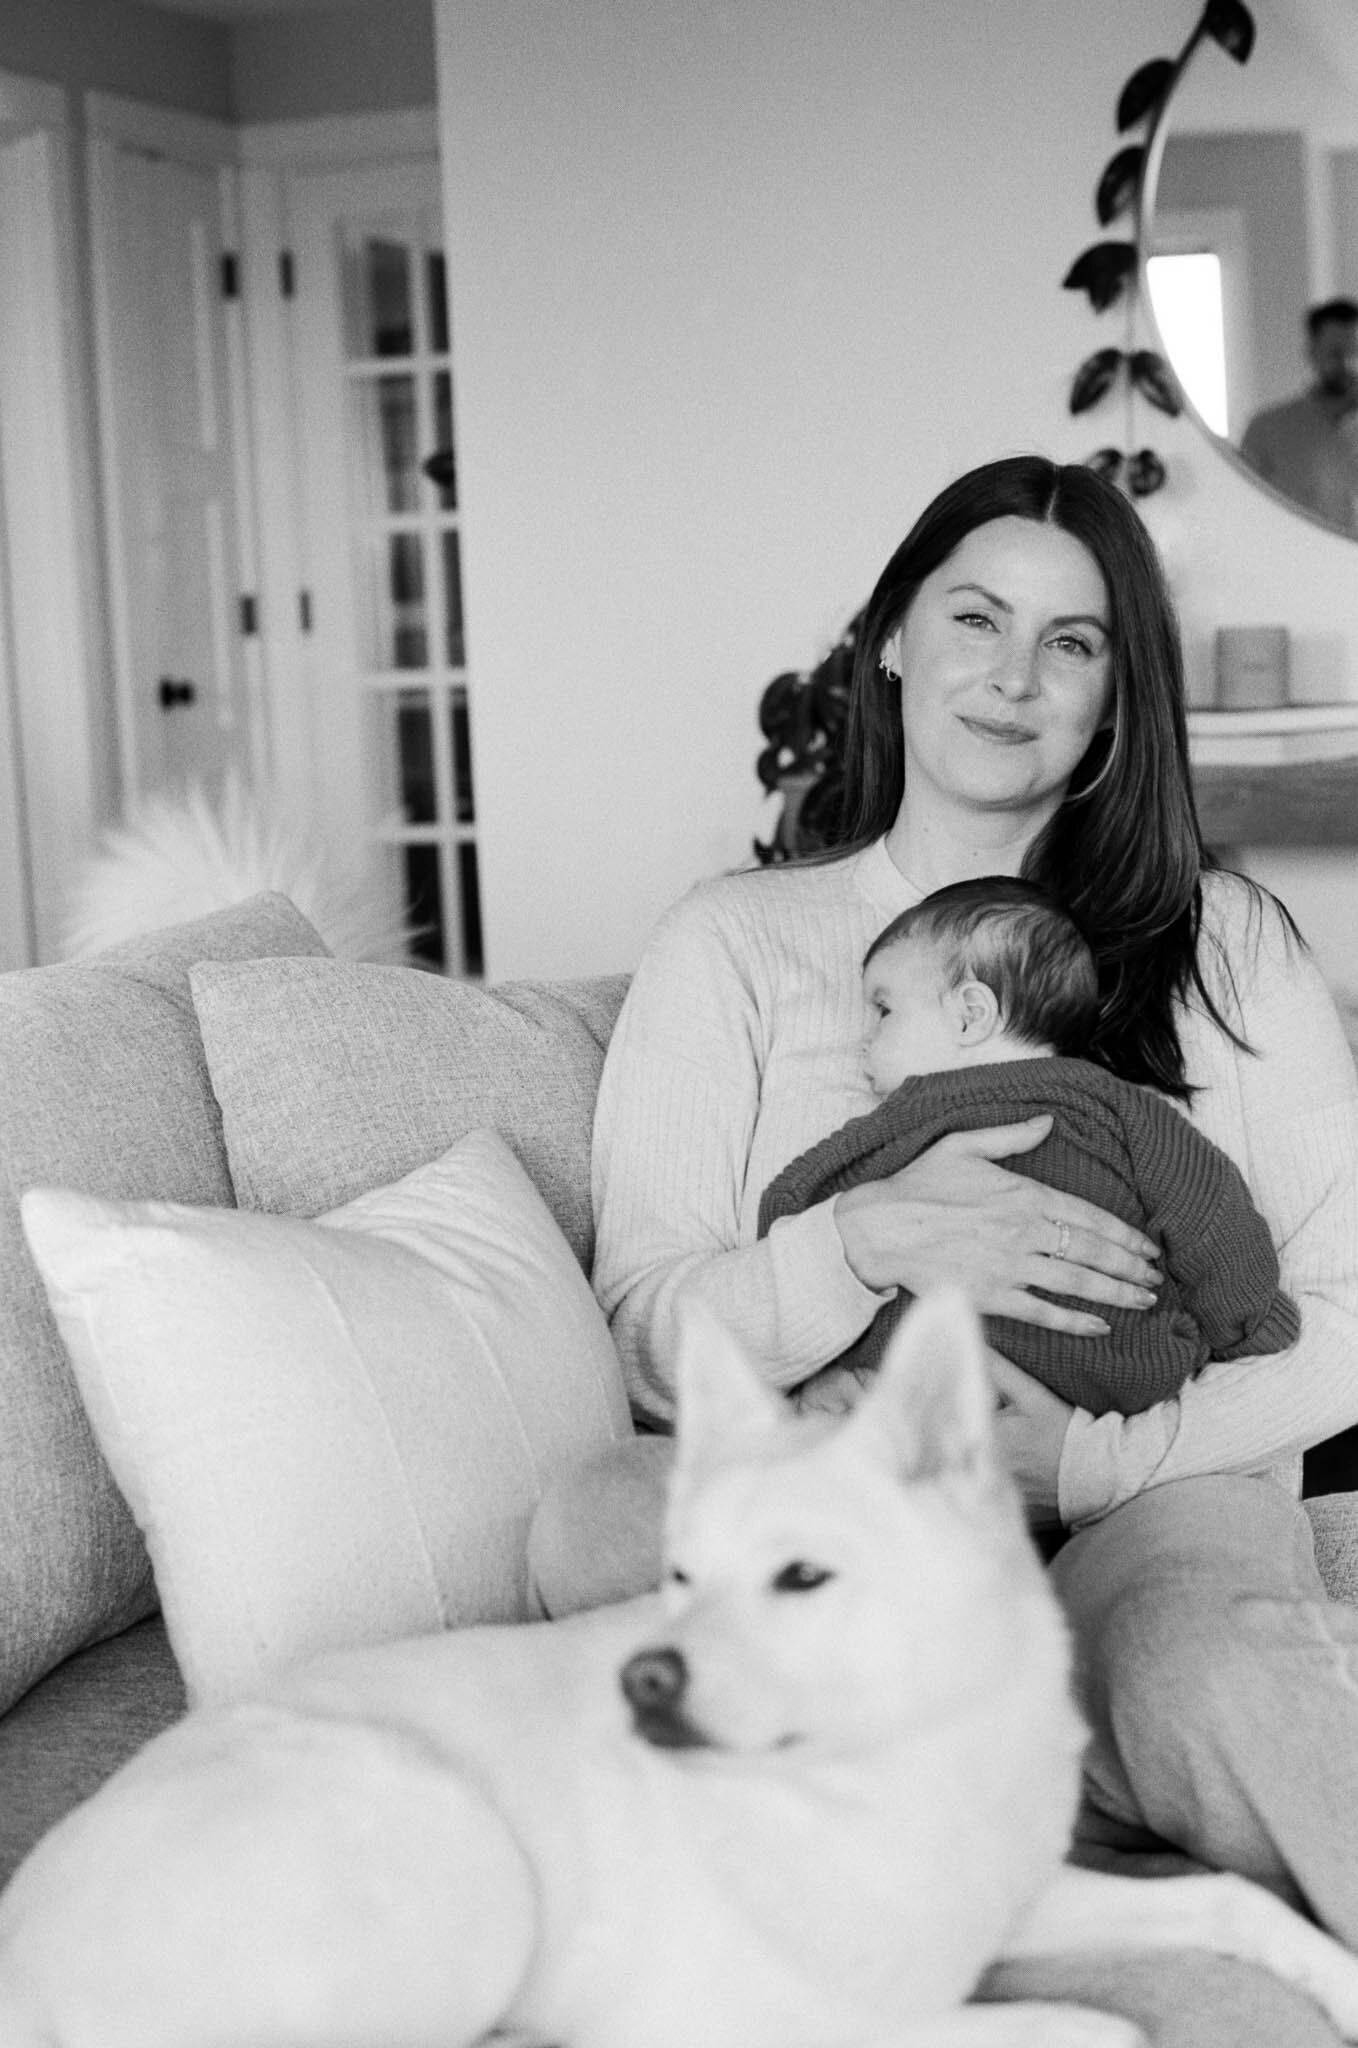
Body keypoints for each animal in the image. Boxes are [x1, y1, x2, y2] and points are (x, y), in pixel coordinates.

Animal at [2, 1294, 1358, 2048]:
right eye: (678, 1574)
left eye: (801, 1576)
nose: (641, 1685)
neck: (894, 1769)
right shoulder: (728, 2015)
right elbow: (1078, 2023)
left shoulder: (1015, 1895)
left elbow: (1226, 1899)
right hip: (459, 1865)